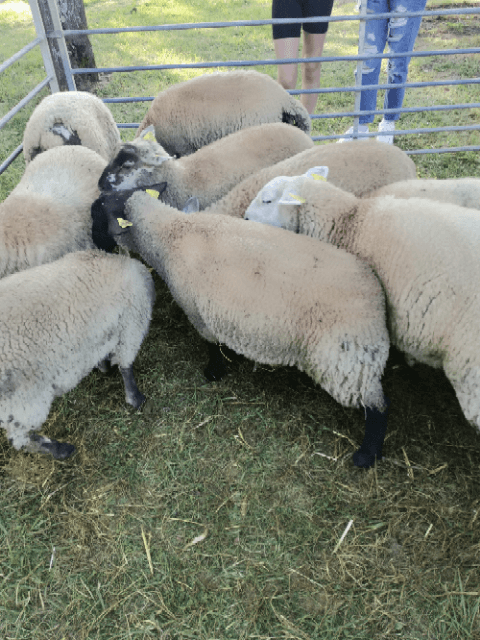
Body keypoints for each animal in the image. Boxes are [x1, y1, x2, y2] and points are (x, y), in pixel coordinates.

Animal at [0, 249, 155, 460]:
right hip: (24, 400)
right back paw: (60, 450)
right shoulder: (131, 326)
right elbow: (126, 367)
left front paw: (104, 366)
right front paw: (136, 399)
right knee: (20, 439)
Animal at [91, 184, 391, 469]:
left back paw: (366, 456)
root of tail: (377, 301)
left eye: (96, 214)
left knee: (378, 406)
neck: (173, 232)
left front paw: (213, 372)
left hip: (345, 359)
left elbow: (212, 344)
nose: (94, 244)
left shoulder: (198, 312)